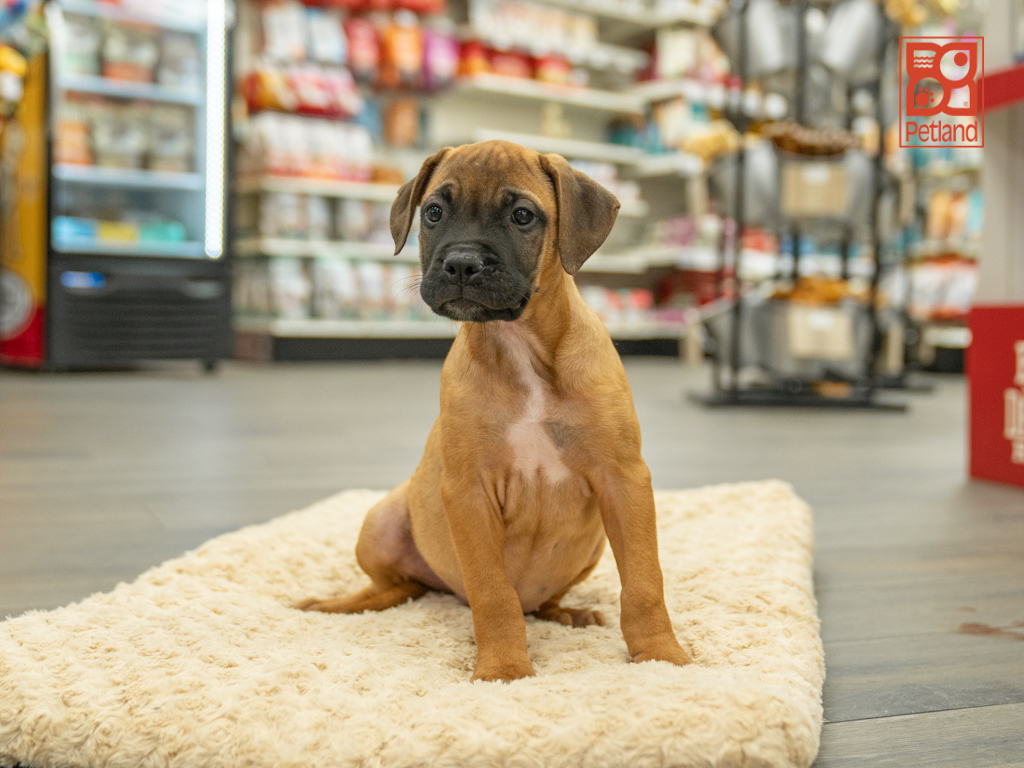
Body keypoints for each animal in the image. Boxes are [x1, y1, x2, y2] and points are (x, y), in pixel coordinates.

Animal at [298, 140, 692, 682]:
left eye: (523, 215)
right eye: (434, 212)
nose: (462, 264)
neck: (520, 348)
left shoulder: (624, 480)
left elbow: (644, 582)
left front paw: (660, 656)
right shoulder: (469, 492)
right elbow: (492, 592)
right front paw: (504, 670)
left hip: (591, 544)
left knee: (524, 601)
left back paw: (567, 613)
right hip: (382, 521)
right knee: (394, 587)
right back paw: (338, 605)